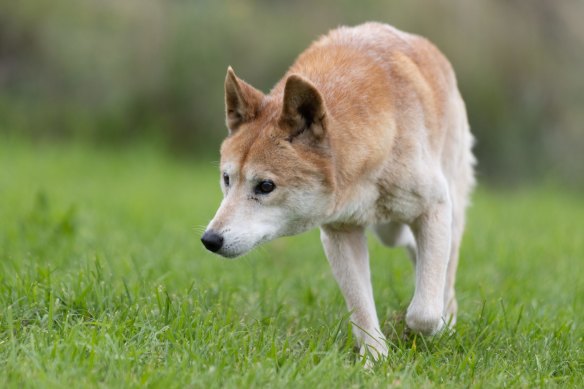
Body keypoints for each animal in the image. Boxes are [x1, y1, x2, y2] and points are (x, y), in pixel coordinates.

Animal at [201, 22, 474, 360]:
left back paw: (447, 321)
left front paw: (422, 329)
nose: (210, 240)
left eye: (265, 186)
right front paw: (375, 361)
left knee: (445, 270)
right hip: (389, 230)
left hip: (449, 205)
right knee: (412, 247)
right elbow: (361, 309)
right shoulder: (341, 232)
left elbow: (423, 312)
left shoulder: (434, 205)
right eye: (227, 179)